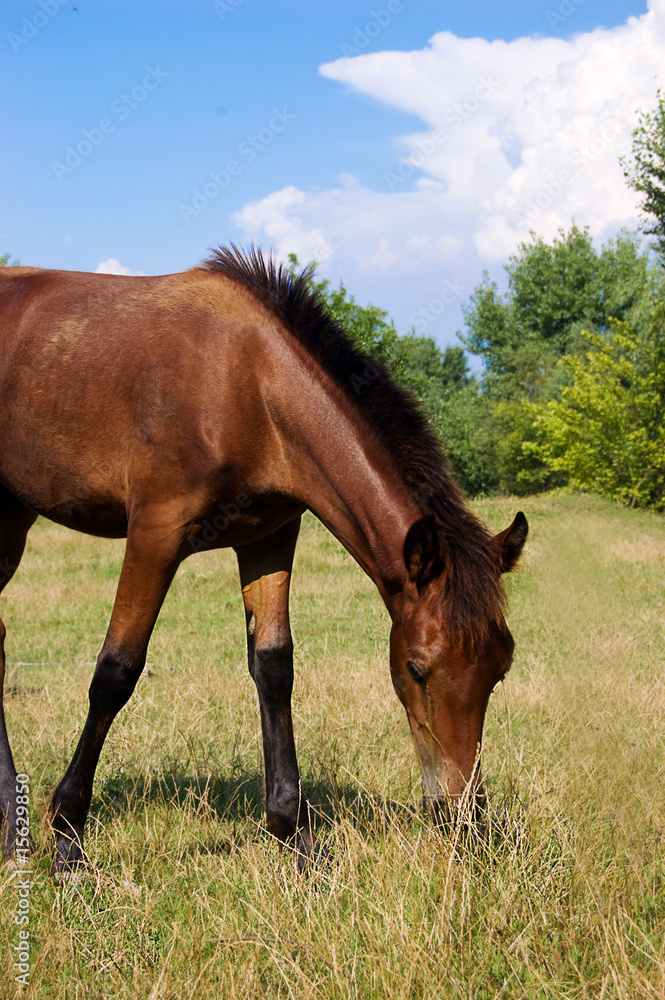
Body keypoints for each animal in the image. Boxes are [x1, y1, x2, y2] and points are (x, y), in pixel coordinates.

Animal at [0, 246, 527, 873]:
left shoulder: (269, 537)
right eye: (417, 668)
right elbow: (116, 672)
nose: (465, 817)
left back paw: (8, 825)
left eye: (499, 671)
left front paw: (296, 839)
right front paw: (68, 839)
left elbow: (274, 668)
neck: (248, 384)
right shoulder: (154, 532)